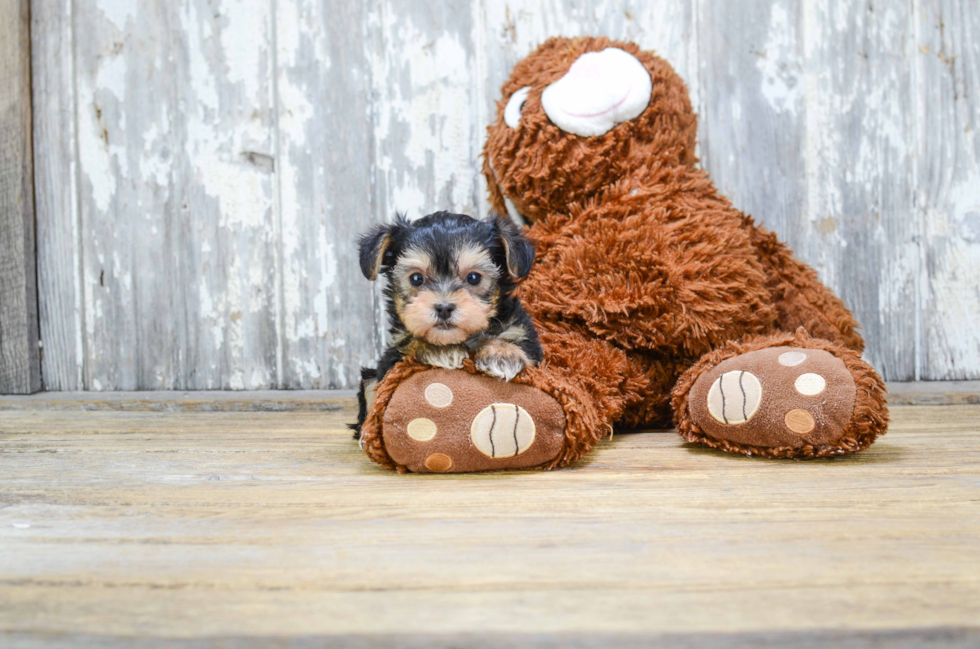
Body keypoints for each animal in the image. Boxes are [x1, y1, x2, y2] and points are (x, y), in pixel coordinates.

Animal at [348, 210, 544, 438]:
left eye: (474, 277)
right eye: (416, 279)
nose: (443, 308)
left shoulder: (525, 338)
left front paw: (502, 354)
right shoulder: (392, 360)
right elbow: (410, 346)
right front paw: (441, 351)